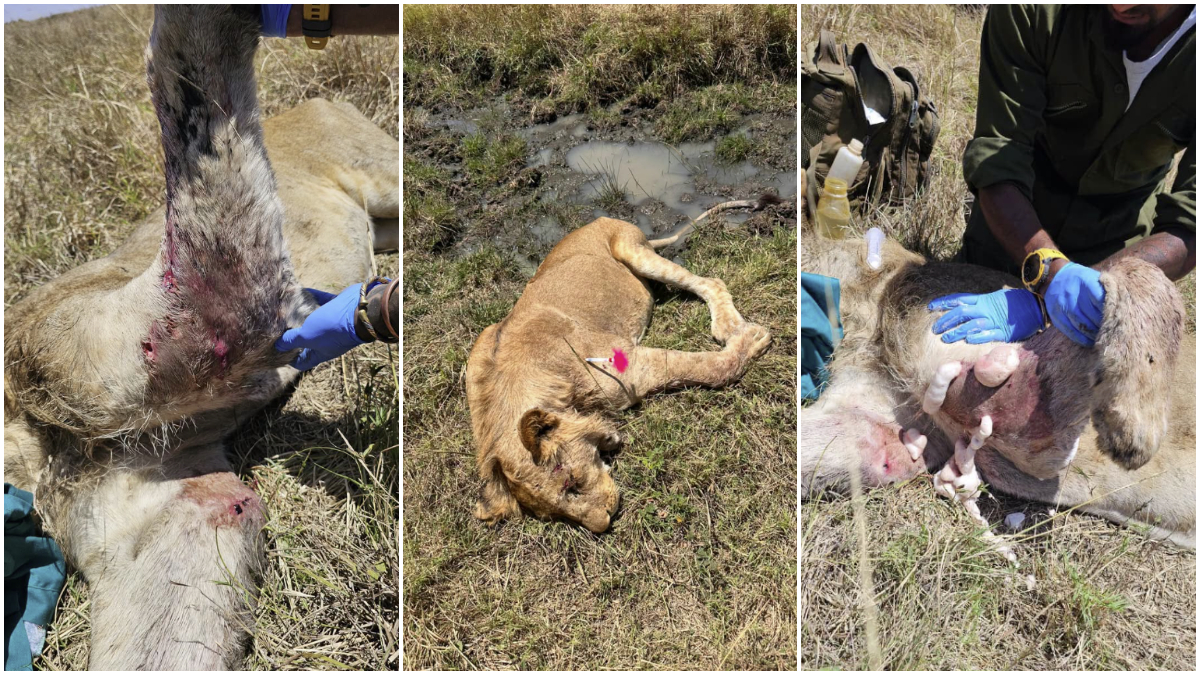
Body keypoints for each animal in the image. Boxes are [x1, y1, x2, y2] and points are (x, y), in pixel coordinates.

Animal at [465, 210, 774, 532]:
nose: (604, 523)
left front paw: (751, 338)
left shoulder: (630, 365)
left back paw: (727, 325)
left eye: (571, 484)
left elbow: (709, 368)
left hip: (634, 252)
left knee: (711, 281)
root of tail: (598, 219)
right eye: (555, 516)